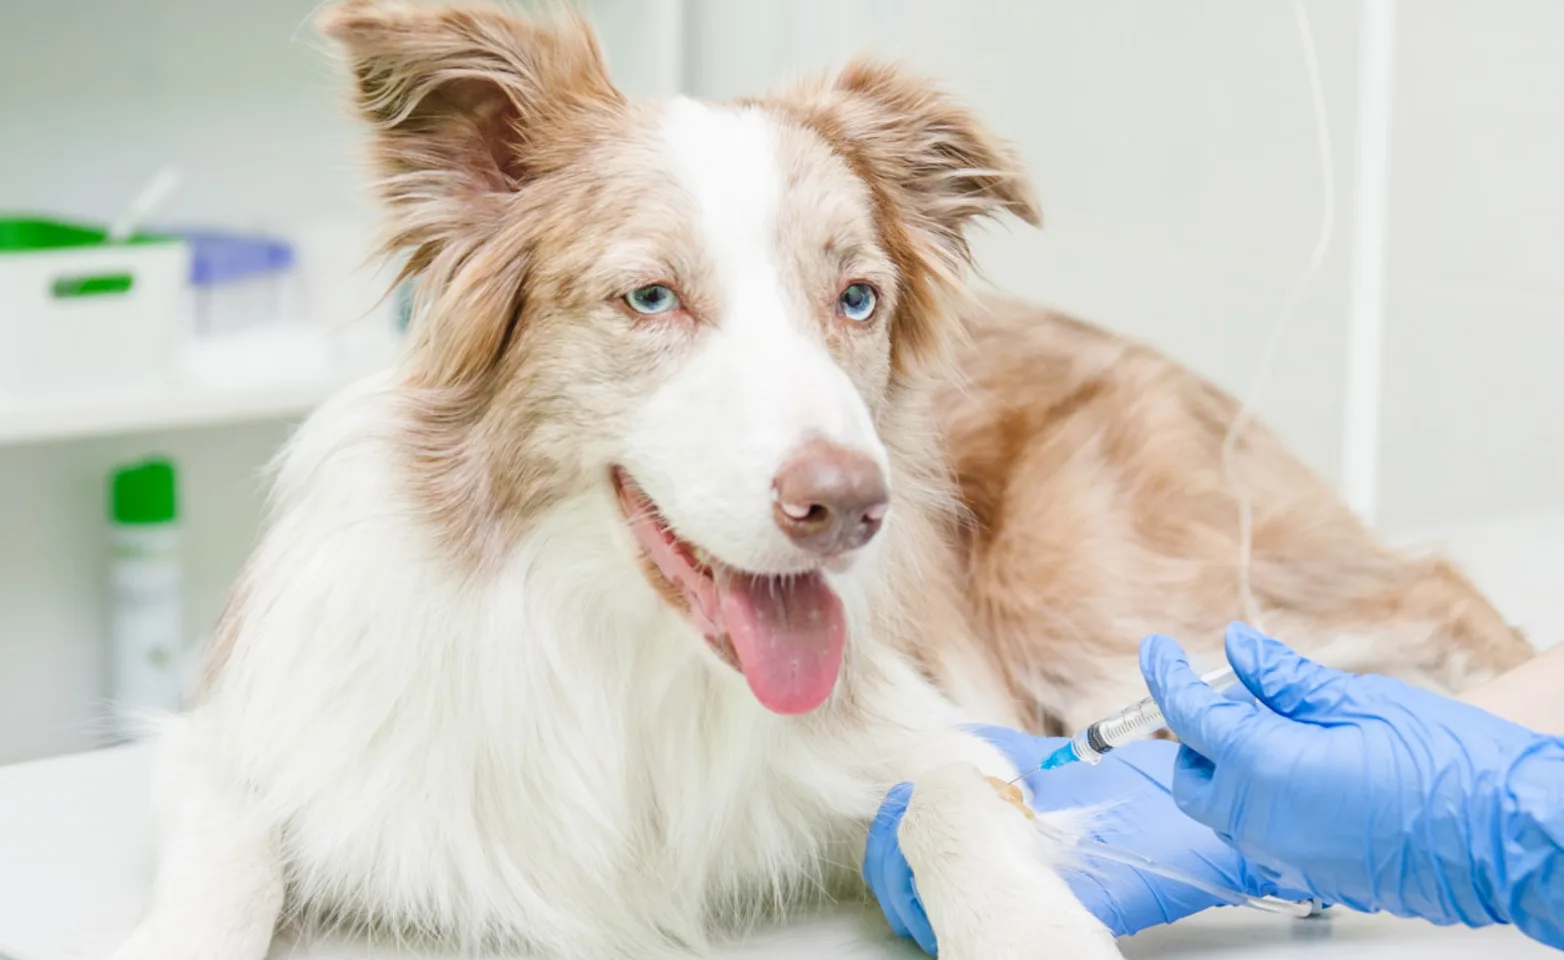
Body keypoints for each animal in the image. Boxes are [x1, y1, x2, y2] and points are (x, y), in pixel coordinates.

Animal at [113, 3, 1538, 956]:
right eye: (650, 297)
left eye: (856, 297)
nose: (849, 507)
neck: (621, 656)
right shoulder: (252, 743)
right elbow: (226, 860)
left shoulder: (929, 730)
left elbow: (953, 803)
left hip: (1101, 592)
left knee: (1433, 596)